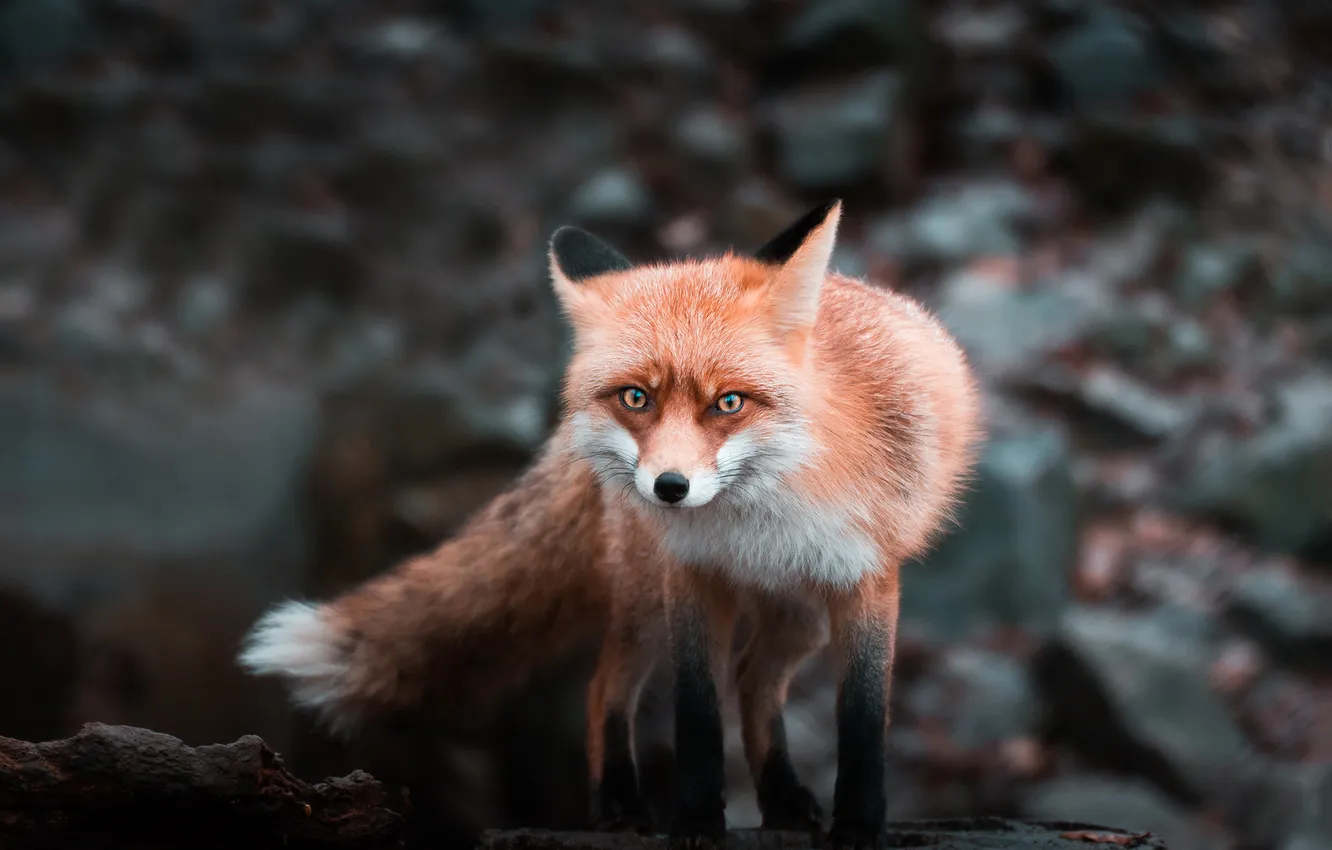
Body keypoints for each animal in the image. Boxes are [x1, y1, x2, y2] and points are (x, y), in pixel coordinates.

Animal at [238, 200, 983, 849]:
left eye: (729, 403)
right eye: (636, 398)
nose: (670, 488)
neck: (760, 521)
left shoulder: (866, 582)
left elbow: (861, 719)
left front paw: (859, 826)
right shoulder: (693, 578)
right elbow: (696, 713)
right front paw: (695, 823)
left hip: (801, 614)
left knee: (752, 680)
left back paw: (782, 801)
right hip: (652, 599)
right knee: (611, 685)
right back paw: (623, 805)